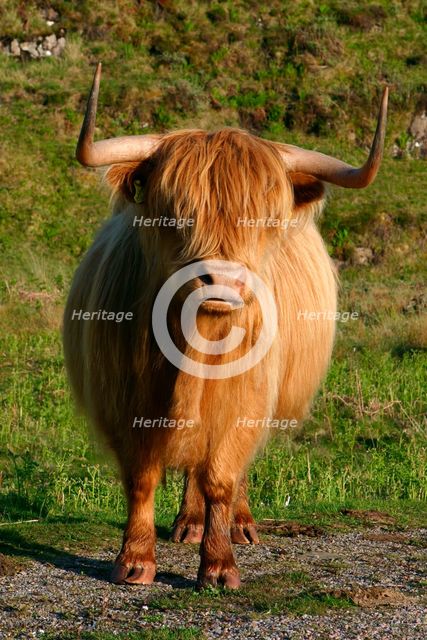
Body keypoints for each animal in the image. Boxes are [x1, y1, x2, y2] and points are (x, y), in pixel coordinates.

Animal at [63, 63, 388, 589]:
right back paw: (188, 523)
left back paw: (239, 525)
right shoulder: (122, 401)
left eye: (265, 219)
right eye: (173, 213)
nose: (222, 280)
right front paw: (135, 560)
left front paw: (218, 566)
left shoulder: (246, 400)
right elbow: (142, 477)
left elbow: (220, 474)